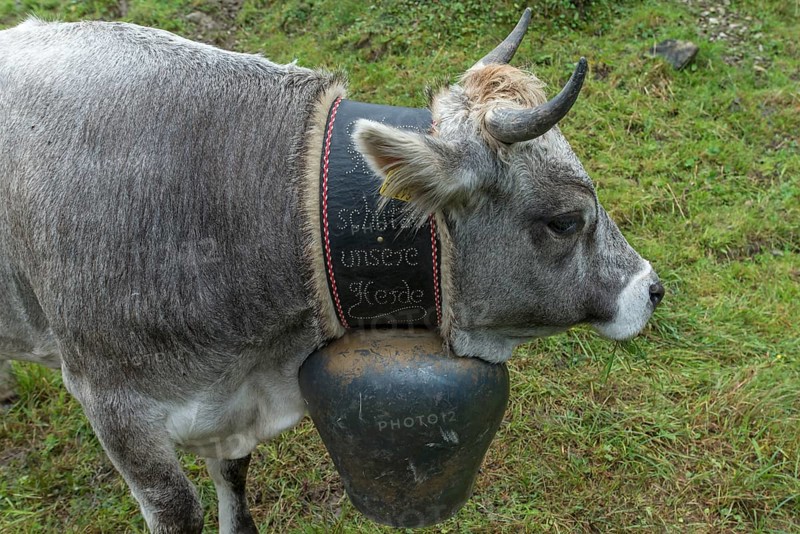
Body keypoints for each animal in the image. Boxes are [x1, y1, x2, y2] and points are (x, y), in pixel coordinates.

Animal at [0, 9, 664, 532]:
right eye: (565, 221)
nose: (653, 288)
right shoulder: (112, 405)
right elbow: (179, 508)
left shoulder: (231, 410)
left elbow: (235, 486)